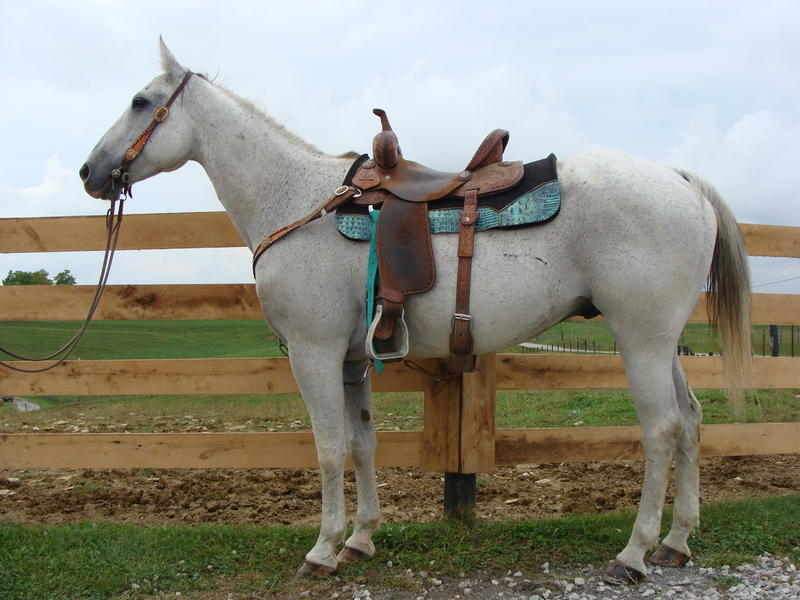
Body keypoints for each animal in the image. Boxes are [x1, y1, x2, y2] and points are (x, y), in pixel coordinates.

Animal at [80, 39, 752, 585]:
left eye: (141, 101)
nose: (90, 171)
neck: (298, 200)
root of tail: (679, 179)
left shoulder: (314, 353)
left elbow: (328, 447)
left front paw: (322, 550)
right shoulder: (352, 361)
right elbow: (362, 443)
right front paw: (360, 540)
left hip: (640, 339)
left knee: (662, 430)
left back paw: (633, 554)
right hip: (662, 342)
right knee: (692, 420)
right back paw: (676, 543)